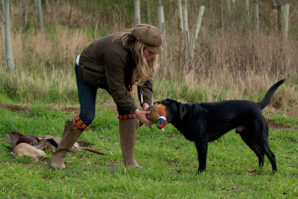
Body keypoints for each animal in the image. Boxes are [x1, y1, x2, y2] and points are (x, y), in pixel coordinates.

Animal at [155, 80, 286, 173]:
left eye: (166, 102)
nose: (155, 102)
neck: (187, 114)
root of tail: (257, 105)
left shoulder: (202, 142)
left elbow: (202, 159)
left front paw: (200, 173)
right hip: (248, 138)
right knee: (261, 154)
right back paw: (258, 170)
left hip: (259, 137)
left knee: (271, 155)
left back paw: (274, 172)